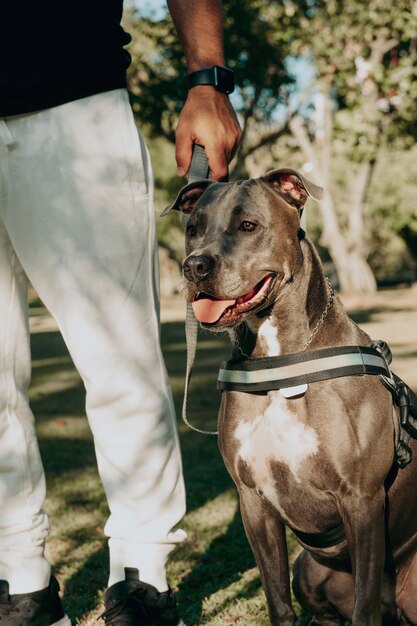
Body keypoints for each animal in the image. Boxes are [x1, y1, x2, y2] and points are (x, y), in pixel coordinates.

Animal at [164, 169, 416, 624]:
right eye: (193, 229)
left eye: (247, 225)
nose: (194, 266)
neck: (280, 358)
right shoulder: (254, 503)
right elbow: (277, 598)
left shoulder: (362, 500)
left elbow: (364, 607)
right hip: (308, 569)